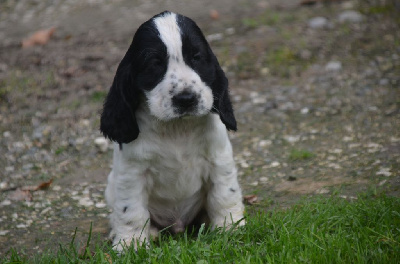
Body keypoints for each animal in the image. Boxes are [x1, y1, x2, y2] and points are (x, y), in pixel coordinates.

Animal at [100, 9, 244, 250]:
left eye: (196, 57)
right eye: (154, 63)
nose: (186, 99)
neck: (177, 128)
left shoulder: (218, 159)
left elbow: (224, 195)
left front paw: (230, 227)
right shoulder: (131, 172)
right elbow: (131, 209)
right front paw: (130, 244)